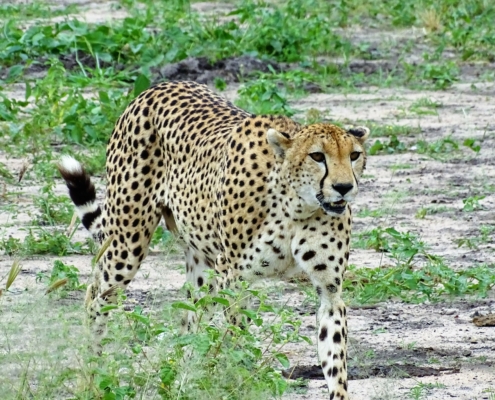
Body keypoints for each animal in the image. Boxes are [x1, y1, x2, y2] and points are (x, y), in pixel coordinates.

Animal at [58, 79, 370, 398]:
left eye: (354, 155)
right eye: (317, 156)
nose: (344, 187)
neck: (296, 206)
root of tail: (160, 86)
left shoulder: (329, 289)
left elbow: (334, 357)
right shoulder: (233, 277)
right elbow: (237, 336)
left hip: (200, 265)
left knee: (191, 319)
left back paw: (182, 379)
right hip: (127, 243)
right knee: (96, 294)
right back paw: (90, 375)